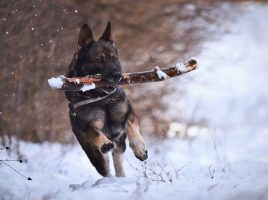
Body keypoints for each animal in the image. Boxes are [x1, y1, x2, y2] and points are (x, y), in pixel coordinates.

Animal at [65, 22, 149, 177]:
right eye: (99, 60)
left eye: (114, 57)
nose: (118, 75)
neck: (102, 99)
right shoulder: (88, 126)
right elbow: (95, 133)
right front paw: (104, 143)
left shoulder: (128, 113)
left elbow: (131, 126)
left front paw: (139, 148)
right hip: (96, 157)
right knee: (106, 168)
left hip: (120, 147)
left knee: (118, 162)